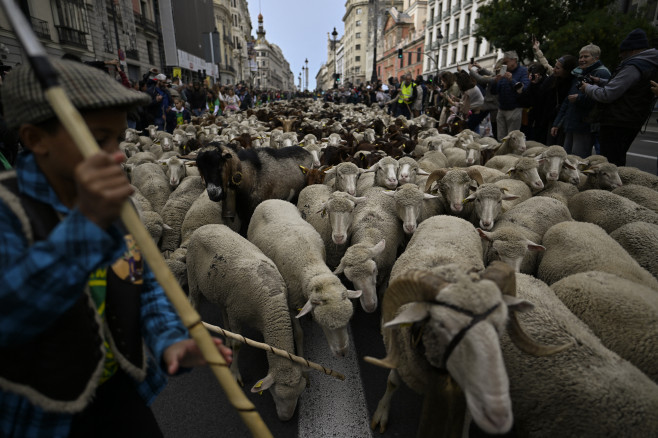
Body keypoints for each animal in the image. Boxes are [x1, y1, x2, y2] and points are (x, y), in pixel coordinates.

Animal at [187, 224, 304, 420]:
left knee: (222, 308)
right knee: (194, 302)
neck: (270, 306)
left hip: (221, 292)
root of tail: (205, 226)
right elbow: (237, 344)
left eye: (297, 395)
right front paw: (234, 374)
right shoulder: (236, 314)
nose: (286, 419)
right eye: (277, 395)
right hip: (192, 276)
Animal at [246, 200, 358, 358]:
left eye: (348, 320)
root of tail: (271, 200)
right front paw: (301, 358)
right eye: (325, 324)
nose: (342, 353)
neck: (311, 265)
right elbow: (299, 334)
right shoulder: (291, 302)